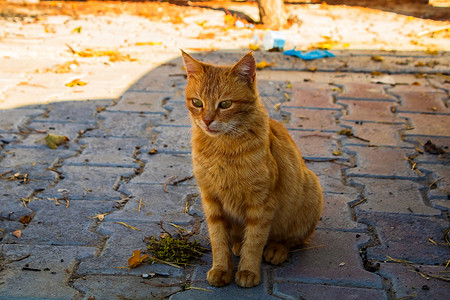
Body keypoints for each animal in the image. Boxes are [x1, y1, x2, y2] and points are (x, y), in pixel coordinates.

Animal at [181, 50, 322, 288]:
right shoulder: (211, 200)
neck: (221, 150)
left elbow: (255, 241)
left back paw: (276, 249)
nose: (207, 121)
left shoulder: (262, 203)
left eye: (225, 104)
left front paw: (248, 271)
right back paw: (238, 244)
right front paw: (221, 268)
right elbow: (218, 240)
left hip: (310, 192)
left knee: (291, 239)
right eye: (197, 102)